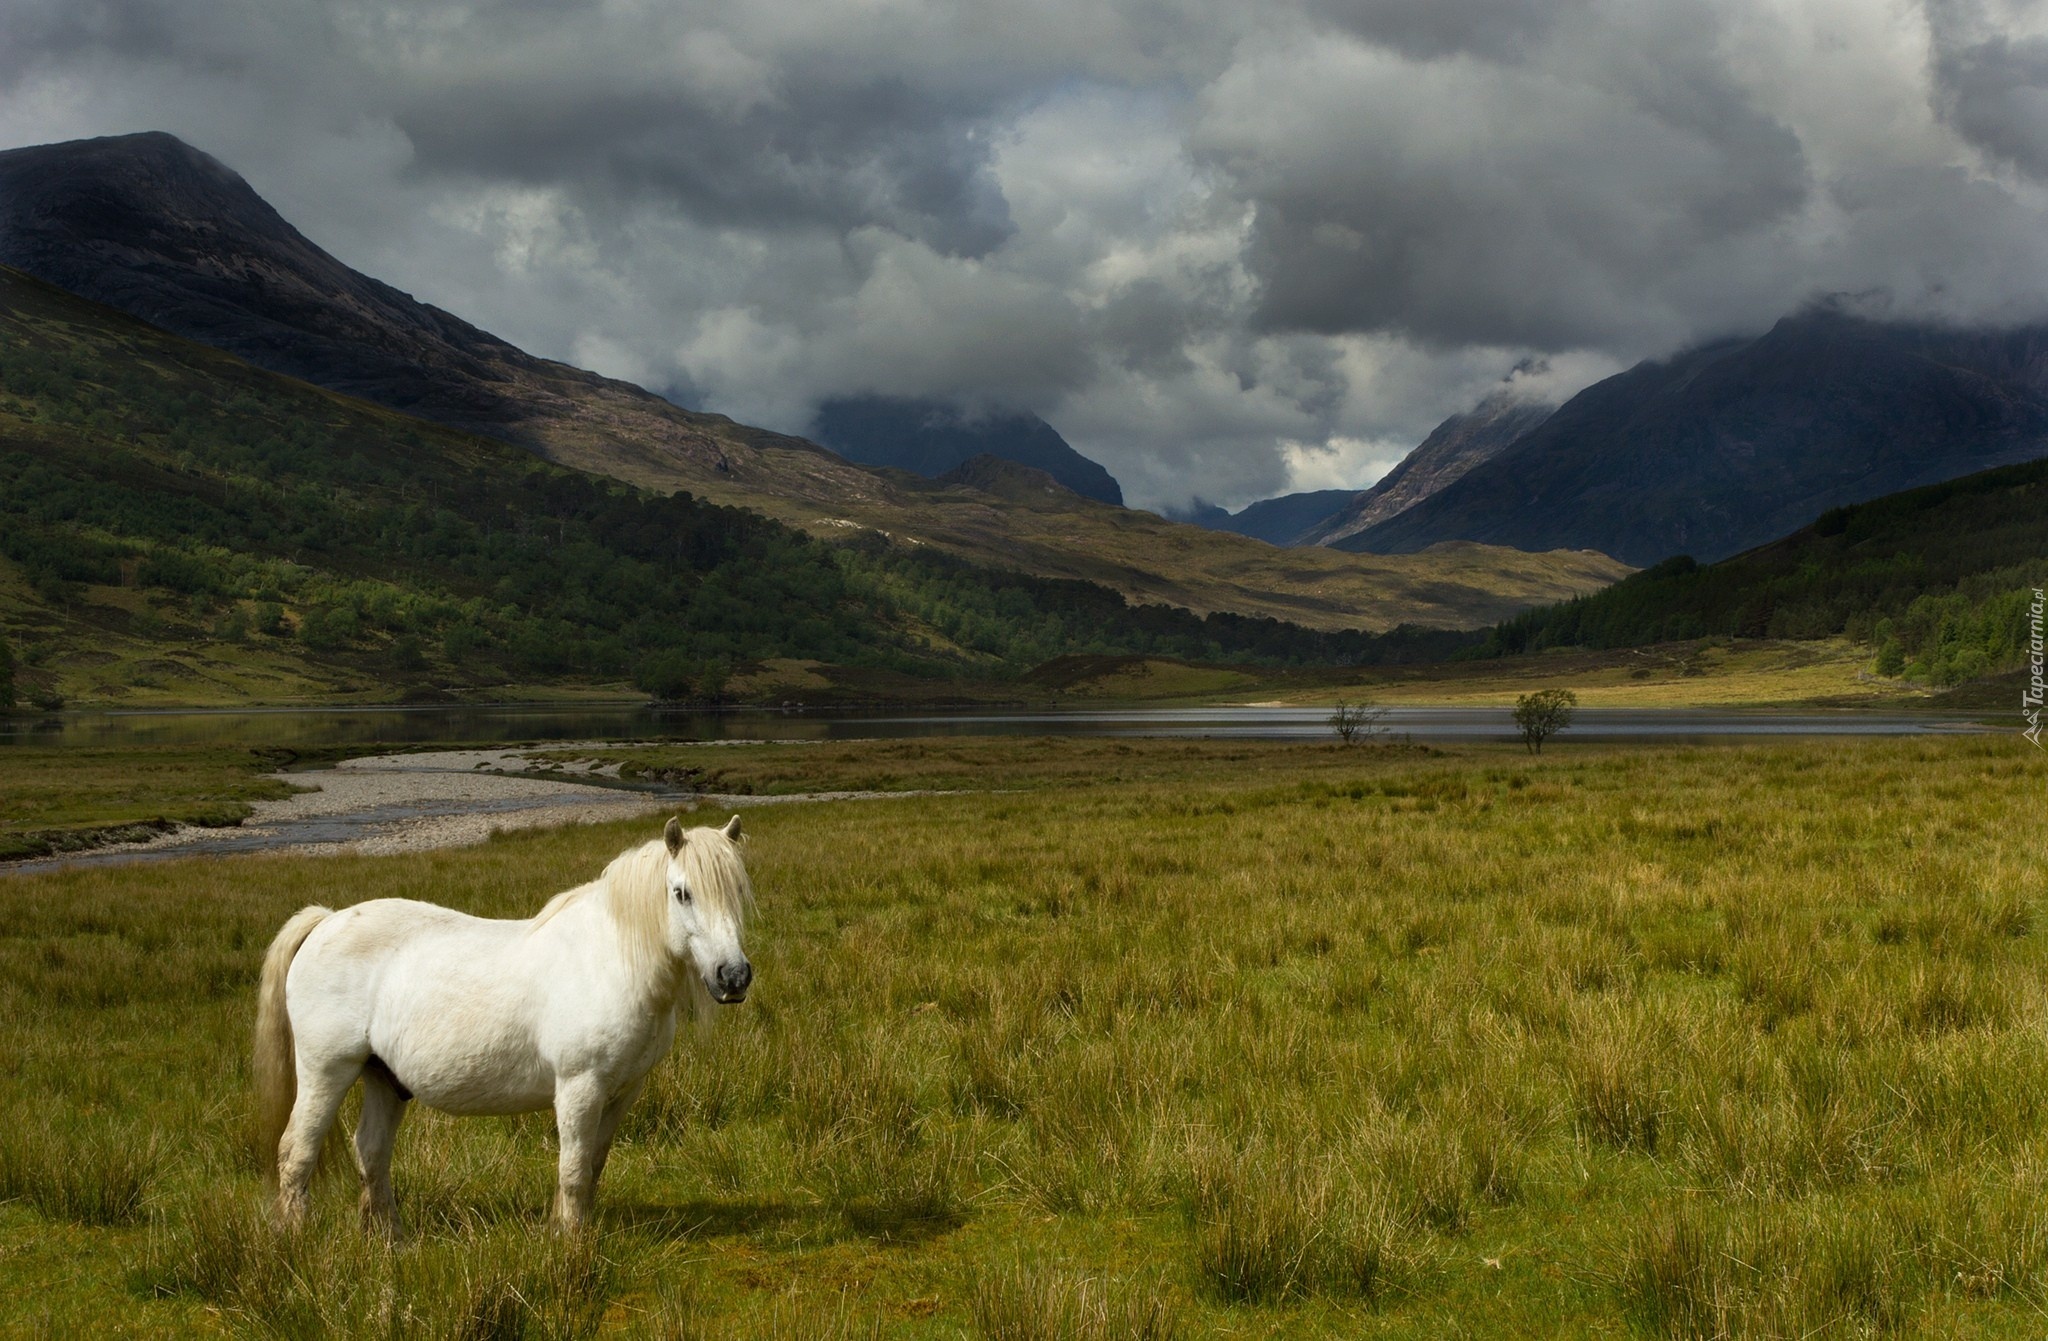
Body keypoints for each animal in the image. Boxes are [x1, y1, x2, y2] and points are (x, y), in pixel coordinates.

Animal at [256, 814, 753, 1236]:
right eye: (682, 892)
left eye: (738, 890)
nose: (733, 977)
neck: (608, 959)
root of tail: (326, 921)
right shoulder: (579, 1087)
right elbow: (573, 1171)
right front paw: (570, 1244)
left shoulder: (624, 1091)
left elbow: (593, 1166)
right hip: (326, 1071)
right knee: (296, 1152)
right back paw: (296, 1239)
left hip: (385, 1079)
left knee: (371, 1153)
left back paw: (391, 1239)